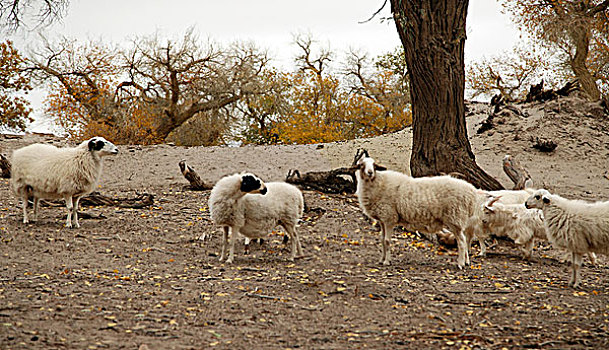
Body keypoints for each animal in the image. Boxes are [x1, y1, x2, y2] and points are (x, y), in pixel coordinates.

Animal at [352, 156, 480, 268]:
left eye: (374, 165)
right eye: (361, 165)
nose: (370, 172)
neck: (377, 183)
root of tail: (471, 193)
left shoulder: (389, 218)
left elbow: (387, 241)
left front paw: (387, 261)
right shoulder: (382, 220)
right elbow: (382, 240)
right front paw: (381, 260)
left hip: (454, 217)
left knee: (461, 242)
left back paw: (460, 264)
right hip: (458, 219)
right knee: (464, 239)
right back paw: (467, 261)